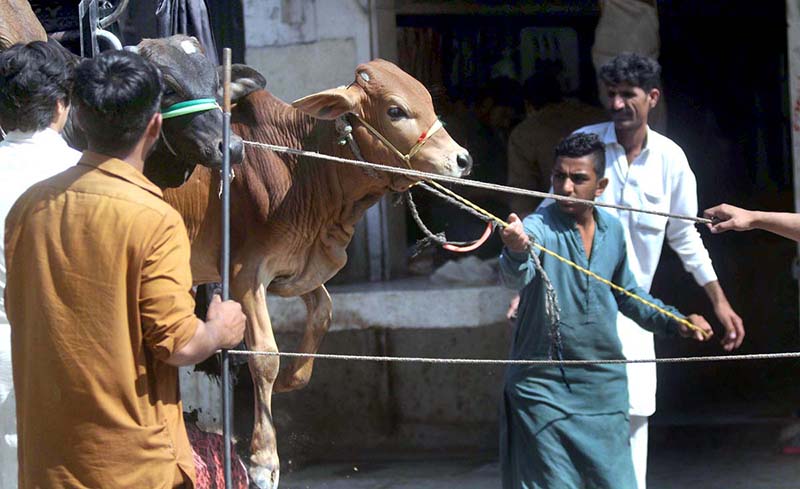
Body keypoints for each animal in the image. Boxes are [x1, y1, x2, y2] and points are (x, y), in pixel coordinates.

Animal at [165, 62, 472, 488]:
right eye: (395, 110)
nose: (462, 160)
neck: (297, 163)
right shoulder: (245, 274)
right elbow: (265, 356)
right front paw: (263, 459)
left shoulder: (297, 268)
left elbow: (323, 313)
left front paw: (291, 380)